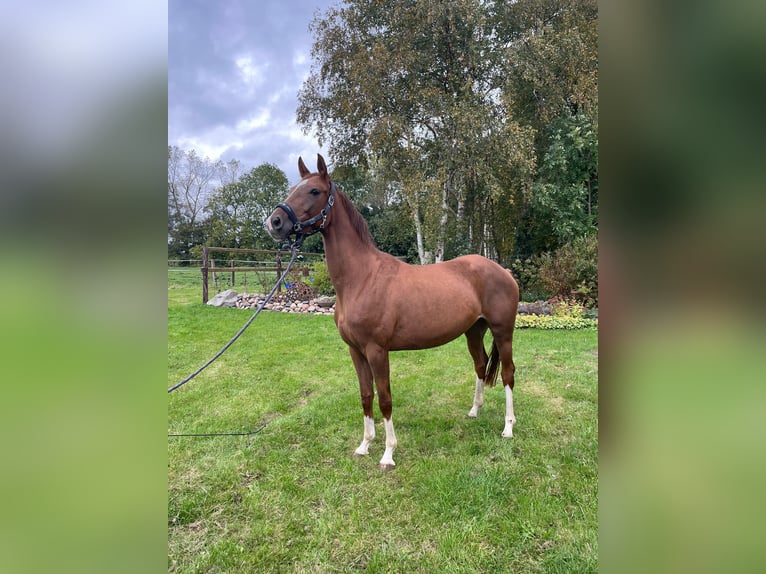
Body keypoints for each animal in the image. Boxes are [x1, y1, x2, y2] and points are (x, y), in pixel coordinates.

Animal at [266, 155, 520, 470]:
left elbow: (385, 398)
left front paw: (388, 453)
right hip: (474, 331)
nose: (274, 222)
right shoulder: (356, 351)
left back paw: (508, 428)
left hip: (503, 332)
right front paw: (364, 445)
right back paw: (474, 410)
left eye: (314, 191)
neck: (362, 278)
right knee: (481, 365)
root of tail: (504, 272)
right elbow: (366, 395)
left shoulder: (377, 350)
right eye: (293, 188)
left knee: (508, 373)